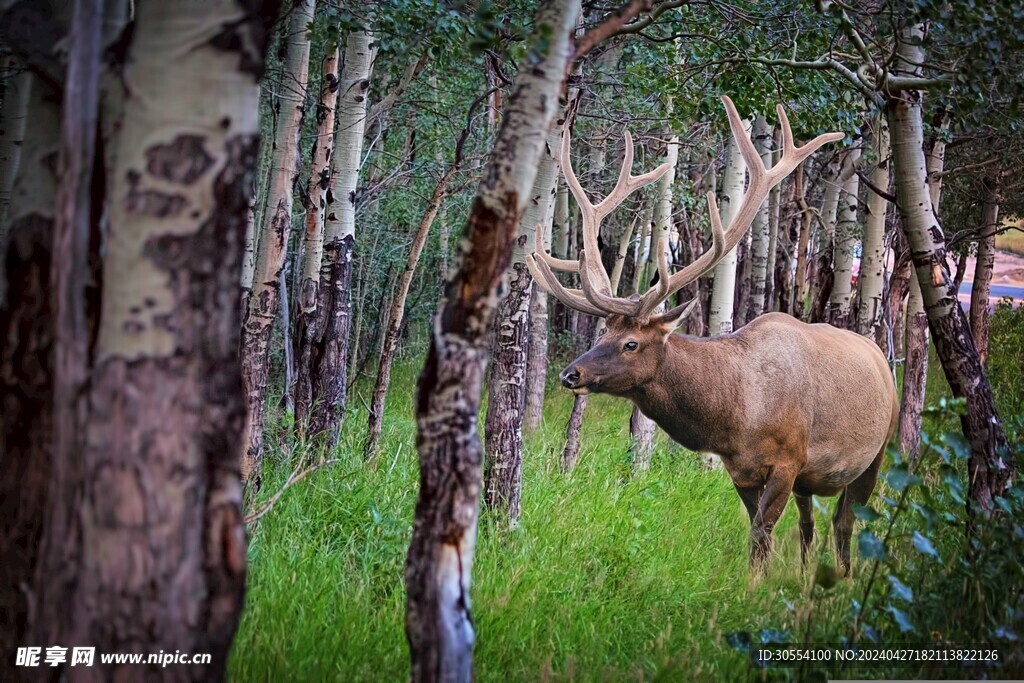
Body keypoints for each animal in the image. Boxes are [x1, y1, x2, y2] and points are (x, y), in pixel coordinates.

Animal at [532, 98, 901, 573]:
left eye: (631, 343)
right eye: (602, 333)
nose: (571, 374)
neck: (736, 419)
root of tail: (882, 359)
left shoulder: (788, 460)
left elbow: (761, 536)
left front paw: (755, 586)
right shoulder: (741, 470)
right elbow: (759, 535)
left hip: (877, 451)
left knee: (844, 522)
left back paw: (843, 577)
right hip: (812, 479)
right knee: (809, 526)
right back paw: (806, 576)